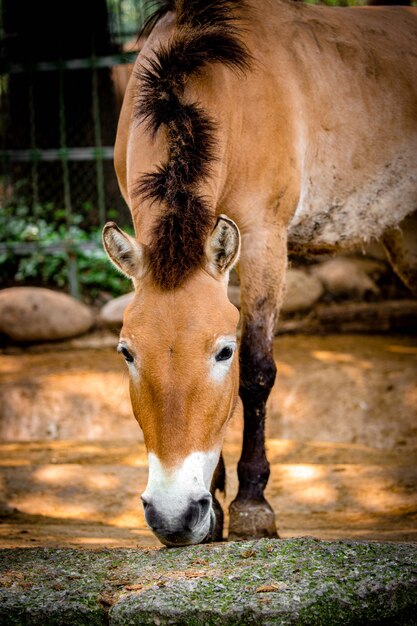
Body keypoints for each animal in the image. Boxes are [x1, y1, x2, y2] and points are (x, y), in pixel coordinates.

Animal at [101, 0, 416, 544]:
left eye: (224, 352)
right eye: (126, 353)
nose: (172, 516)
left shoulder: (266, 242)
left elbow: (257, 373)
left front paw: (251, 504)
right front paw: (214, 508)